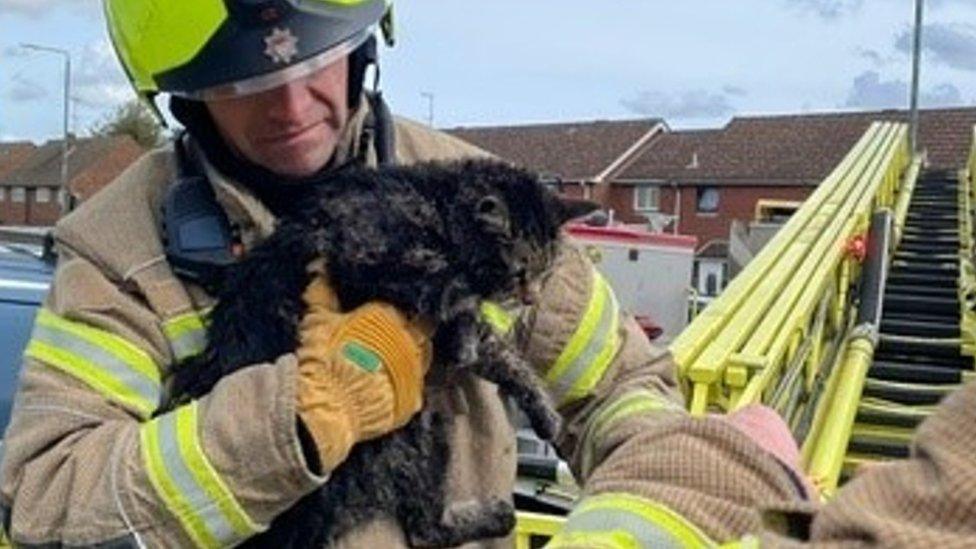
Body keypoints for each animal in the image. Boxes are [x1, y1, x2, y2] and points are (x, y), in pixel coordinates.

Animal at [169, 159, 596, 548]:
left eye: (546, 271)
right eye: (520, 273)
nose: (532, 297)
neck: (433, 205)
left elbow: (503, 357)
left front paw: (543, 410)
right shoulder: (363, 255)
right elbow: (450, 285)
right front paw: (465, 323)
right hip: (422, 427)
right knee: (425, 529)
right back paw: (496, 516)